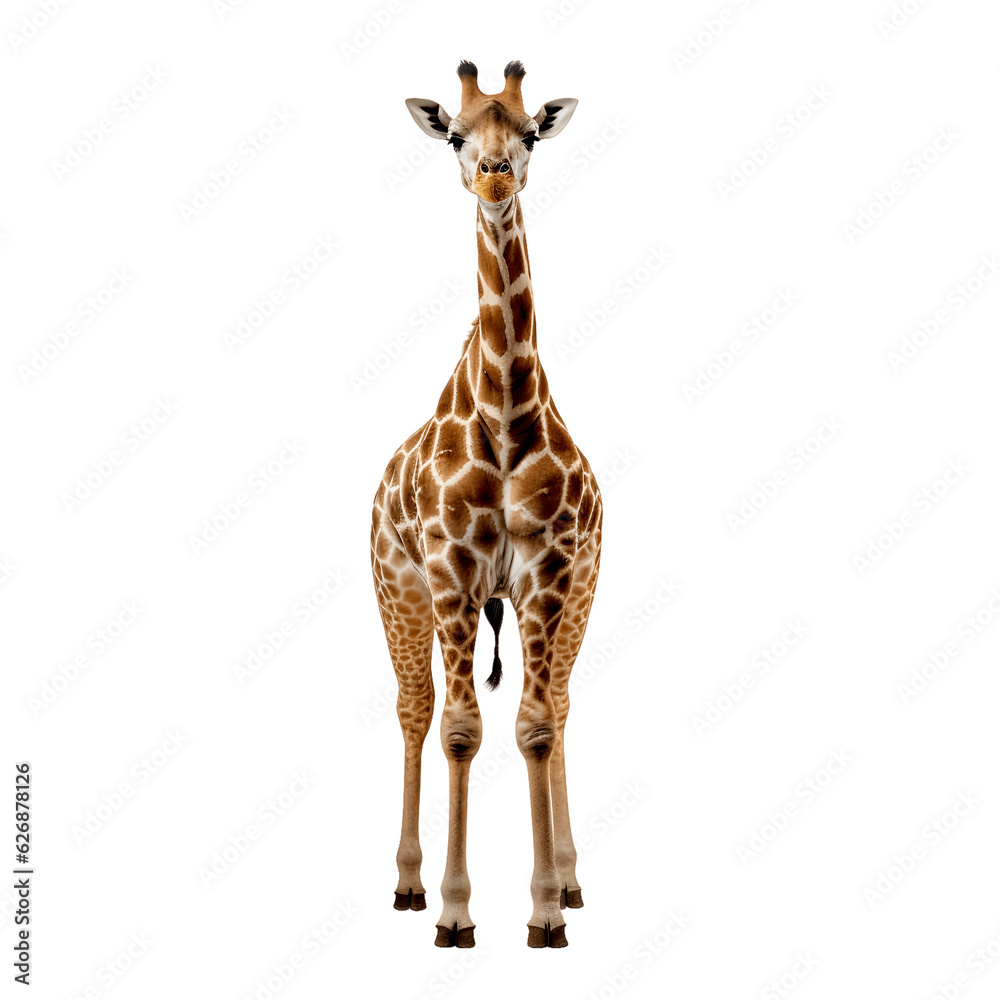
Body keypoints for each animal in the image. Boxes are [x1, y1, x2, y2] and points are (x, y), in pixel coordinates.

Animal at [370, 59, 602, 949]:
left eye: (531, 132)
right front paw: (454, 911)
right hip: (399, 590)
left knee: (560, 708)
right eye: (458, 136)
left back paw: (571, 880)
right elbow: (459, 730)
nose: (495, 175)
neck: (504, 415)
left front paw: (545, 911)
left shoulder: (551, 568)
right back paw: (405, 885)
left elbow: (535, 724)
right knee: (414, 710)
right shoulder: (448, 571)